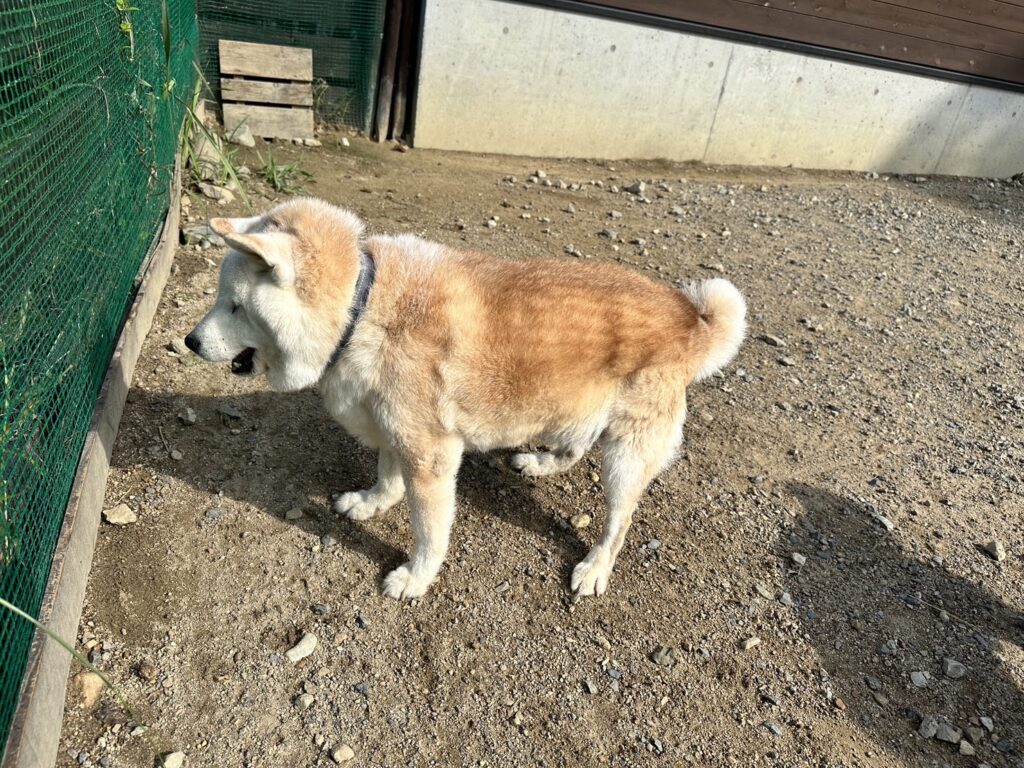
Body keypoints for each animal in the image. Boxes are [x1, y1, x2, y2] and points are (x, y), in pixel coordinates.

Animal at [185, 197, 746, 600]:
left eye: (233, 306)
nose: (189, 341)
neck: (363, 308)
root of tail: (689, 317)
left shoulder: (430, 454)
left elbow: (429, 533)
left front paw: (415, 578)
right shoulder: (395, 429)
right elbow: (386, 476)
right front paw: (371, 502)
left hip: (627, 456)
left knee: (619, 520)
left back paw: (594, 567)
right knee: (574, 446)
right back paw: (540, 462)